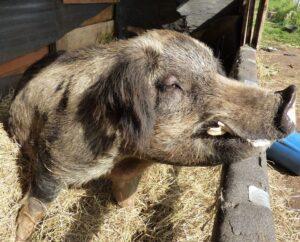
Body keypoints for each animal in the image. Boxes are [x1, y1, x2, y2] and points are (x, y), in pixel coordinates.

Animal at [8, 29, 296, 240]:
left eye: (216, 73)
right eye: (172, 84)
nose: (288, 96)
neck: (123, 155)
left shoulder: (129, 169)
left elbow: (126, 193)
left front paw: (134, 211)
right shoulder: (56, 158)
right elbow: (38, 202)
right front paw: (19, 235)